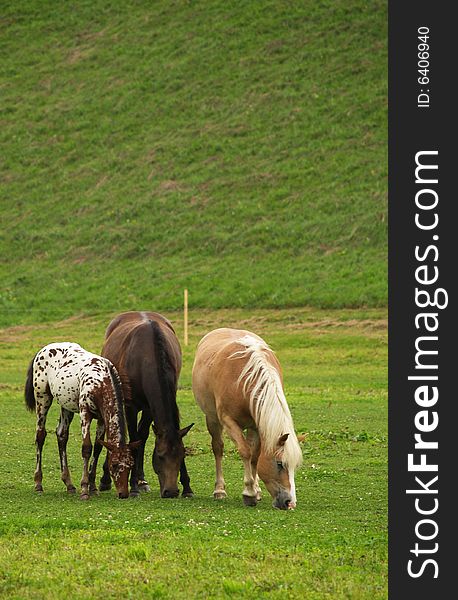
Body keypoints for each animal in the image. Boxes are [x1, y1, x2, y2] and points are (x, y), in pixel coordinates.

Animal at [24, 342, 140, 502]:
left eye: (131, 464)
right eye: (114, 465)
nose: (123, 493)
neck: (101, 380)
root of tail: (42, 350)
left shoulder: (102, 419)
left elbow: (97, 448)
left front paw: (93, 487)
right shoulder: (85, 413)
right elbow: (87, 448)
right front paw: (85, 489)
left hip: (66, 405)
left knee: (62, 435)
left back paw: (69, 484)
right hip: (42, 398)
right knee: (40, 435)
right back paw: (38, 484)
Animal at [98, 312, 193, 500]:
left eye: (182, 455)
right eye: (160, 456)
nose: (171, 491)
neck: (147, 357)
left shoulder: (150, 407)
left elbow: (141, 438)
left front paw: (187, 487)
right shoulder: (131, 407)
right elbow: (134, 439)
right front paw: (133, 486)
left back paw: (142, 481)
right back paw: (106, 479)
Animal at [191, 330, 302, 508]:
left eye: (294, 466)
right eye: (279, 464)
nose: (289, 502)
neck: (243, 382)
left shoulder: (257, 425)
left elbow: (255, 456)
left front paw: (255, 490)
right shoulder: (229, 422)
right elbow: (244, 452)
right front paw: (249, 493)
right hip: (212, 419)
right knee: (218, 448)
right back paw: (219, 490)